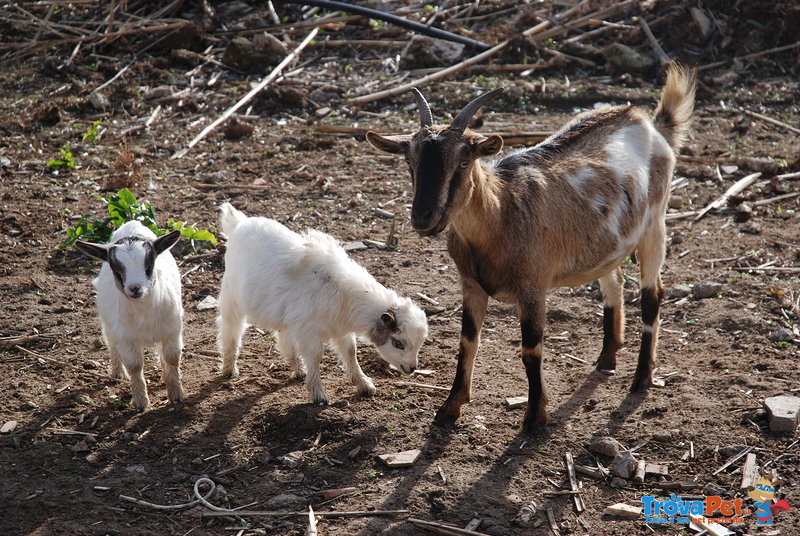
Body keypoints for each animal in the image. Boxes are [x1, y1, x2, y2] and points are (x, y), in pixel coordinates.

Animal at [368, 63, 692, 432]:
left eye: (464, 162)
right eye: (411, 162)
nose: (424, 217)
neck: (501, 213)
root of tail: (649, 122)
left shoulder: (533, 288)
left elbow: (531, 350)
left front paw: (536, 417)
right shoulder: (471, 285)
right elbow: (467, 342)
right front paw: (450, 407)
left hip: (655, 225)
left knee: (653, 295)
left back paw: (641, 379)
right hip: (608, 244)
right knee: (615, 282)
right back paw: (607, 358)